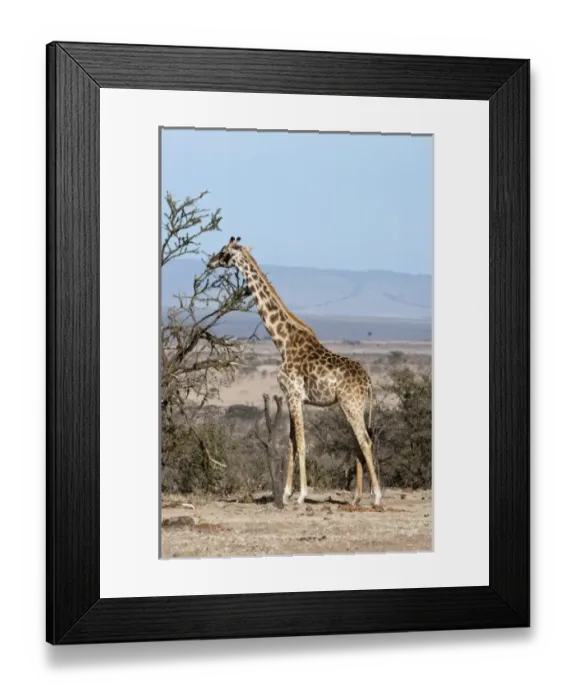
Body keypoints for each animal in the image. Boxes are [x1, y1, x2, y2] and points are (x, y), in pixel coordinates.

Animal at [207, 237, 382, 507]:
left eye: (224, 252)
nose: (210, 262)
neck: (283, 342)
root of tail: (368, 382)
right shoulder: (292, 397)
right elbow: (290, 443)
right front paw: (287, 493)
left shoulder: (294, 395)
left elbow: (300, 442)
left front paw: (301, 494)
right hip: (353, 405)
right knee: (358, 441)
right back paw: (356, 497)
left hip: (350, 403)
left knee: (365, 440)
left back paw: (376, 497)